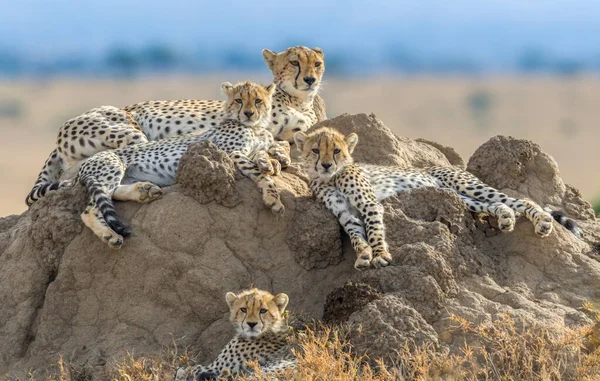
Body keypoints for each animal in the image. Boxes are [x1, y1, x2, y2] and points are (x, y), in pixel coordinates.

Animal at [25, 46, 326, 206]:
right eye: (294, 62)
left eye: (318, 64)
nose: (310, 79)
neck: (299, 101)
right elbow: (273, 144)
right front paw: (272, 160)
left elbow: (280, 142)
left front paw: (274, 158)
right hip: (132, 133)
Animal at [39, 79, 288, 249]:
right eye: (239, 101)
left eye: (258, 101)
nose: (248, 113)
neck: (256, 128)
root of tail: (83, 164)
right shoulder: (229, 152)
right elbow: (259, 173)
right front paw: (272, 197)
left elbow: (265, 159)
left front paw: (273, 169)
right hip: (113, 163)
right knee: (89, 209)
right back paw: (110, 234)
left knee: (113, 193)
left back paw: (144, 192)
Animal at [292, 127, 580, 270]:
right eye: (316, 150)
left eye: (336, 151)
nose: (326, 164)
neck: (330, 178)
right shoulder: (346, 213)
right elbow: (355, 234)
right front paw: (363, 254)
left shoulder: (369, 204)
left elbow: (374, 231)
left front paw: (380, 255)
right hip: (457, 196)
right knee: (496, 204)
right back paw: (506, 219)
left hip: (467, 186)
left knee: (519, 201)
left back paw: (541, 221)